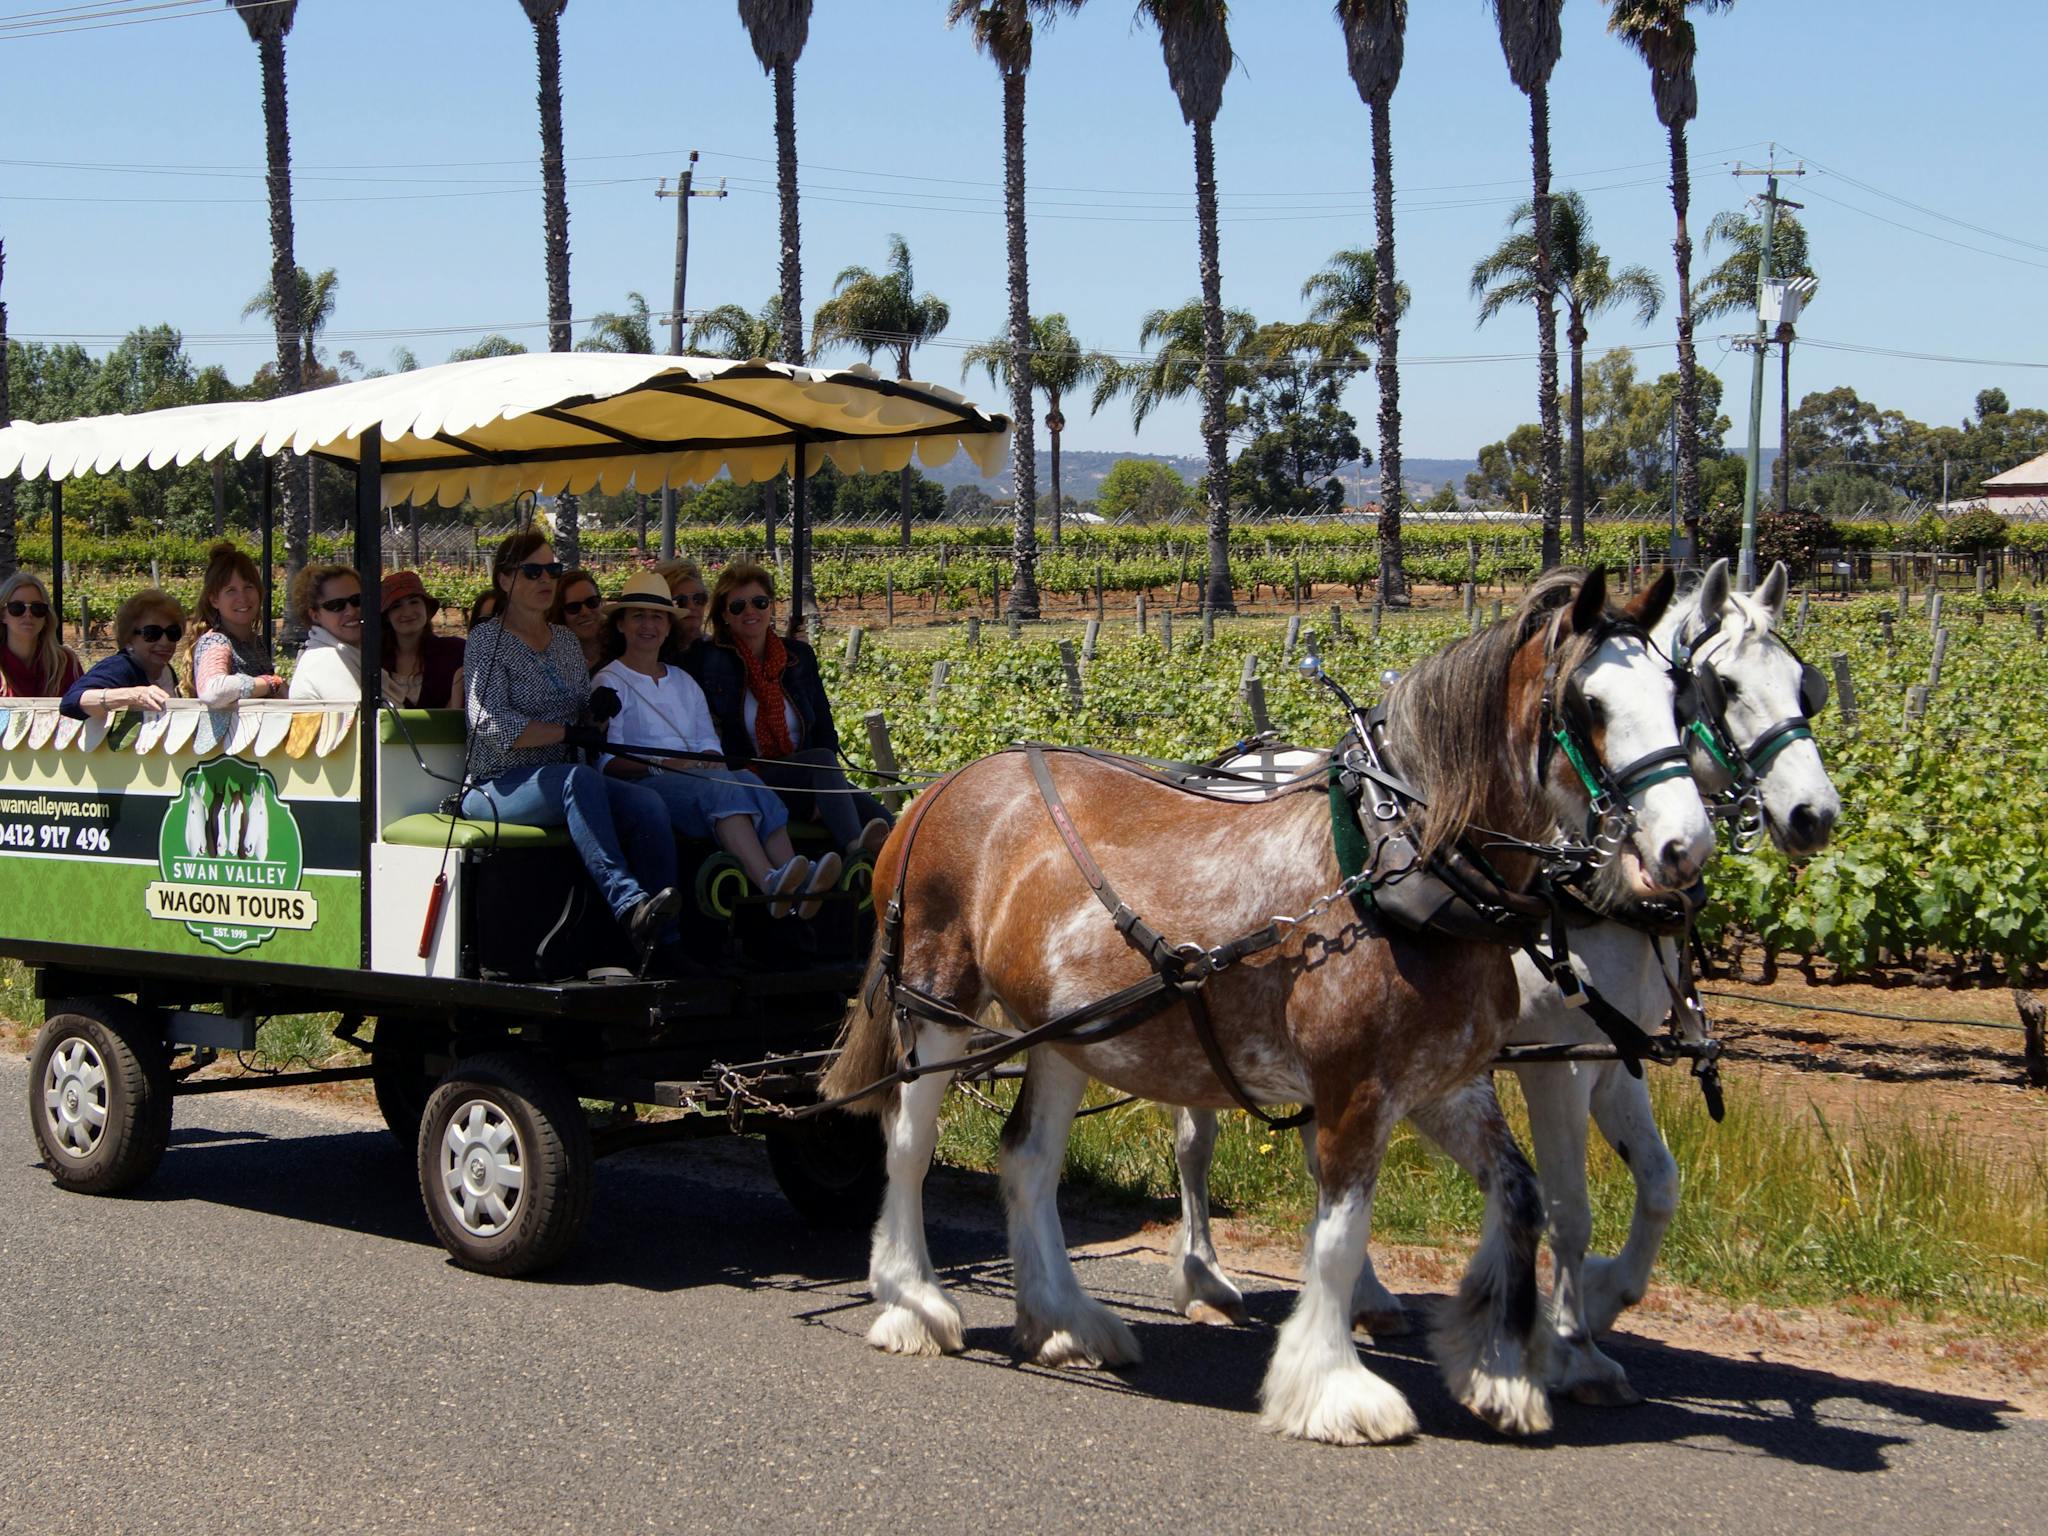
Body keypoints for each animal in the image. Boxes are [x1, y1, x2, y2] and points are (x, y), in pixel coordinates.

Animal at [815, 569, 1712, 1441]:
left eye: (1681, 697)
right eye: (1588, 706)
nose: (1686, 848)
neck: (1395, 863)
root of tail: (936, 790)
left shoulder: (1443, 1083)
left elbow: (1522, 1198)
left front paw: (1498, 1370)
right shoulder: (1356, 1086)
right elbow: (1340, 1239)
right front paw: (1333, 1387)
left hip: (1070, 1030)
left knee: (1028, 1159)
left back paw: (1066, 1320)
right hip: (932, 1004)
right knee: (909, 1146)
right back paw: (912, 1303)